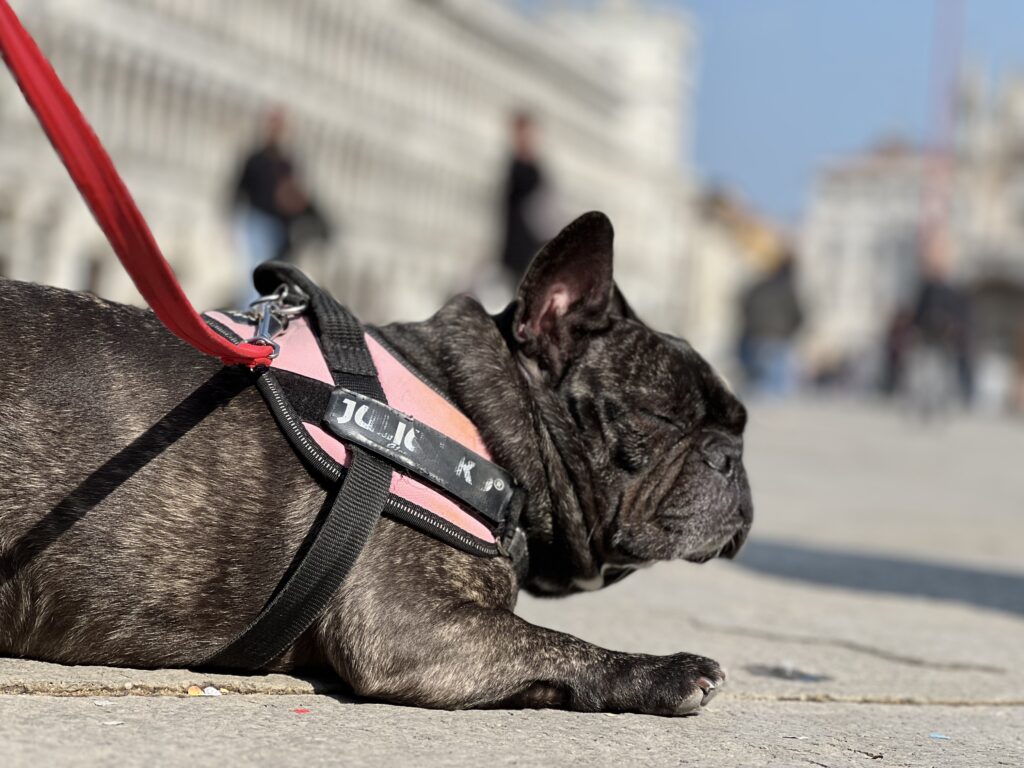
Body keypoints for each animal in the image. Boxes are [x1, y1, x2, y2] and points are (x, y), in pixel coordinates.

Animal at [0, 211, 753, 716]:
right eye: (662, 419)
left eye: (740, 426)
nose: (730, 458)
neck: (477, 413)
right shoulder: (409, 623)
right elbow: (557, 641)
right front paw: (659, 671)